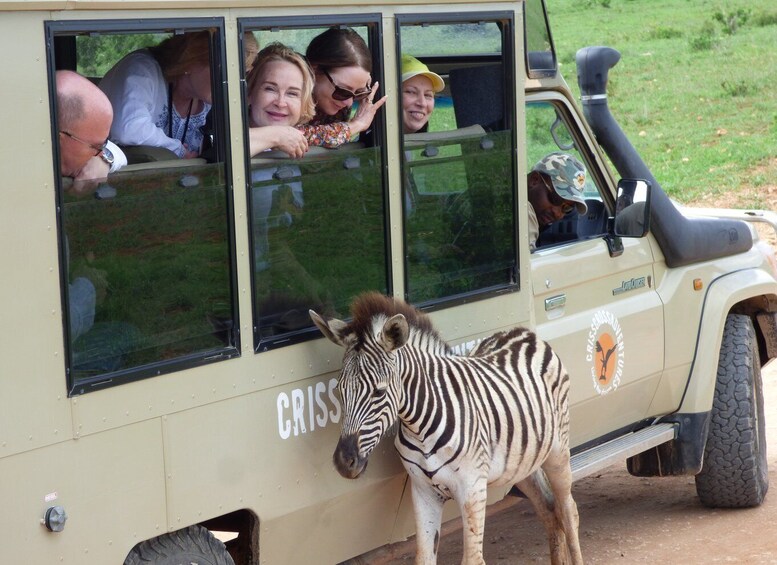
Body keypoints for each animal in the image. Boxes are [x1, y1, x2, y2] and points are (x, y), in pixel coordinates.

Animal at [310, 294, 584, 560]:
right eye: (339, 390)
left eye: (379, 392)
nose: (344, 462)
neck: (419, 427)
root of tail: (522, 333)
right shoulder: (423, 492)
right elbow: (424, 556)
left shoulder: (472, 489)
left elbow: (472, 558)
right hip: (522, 462)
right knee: (549, 509)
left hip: (558, 451)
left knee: (569, 510)